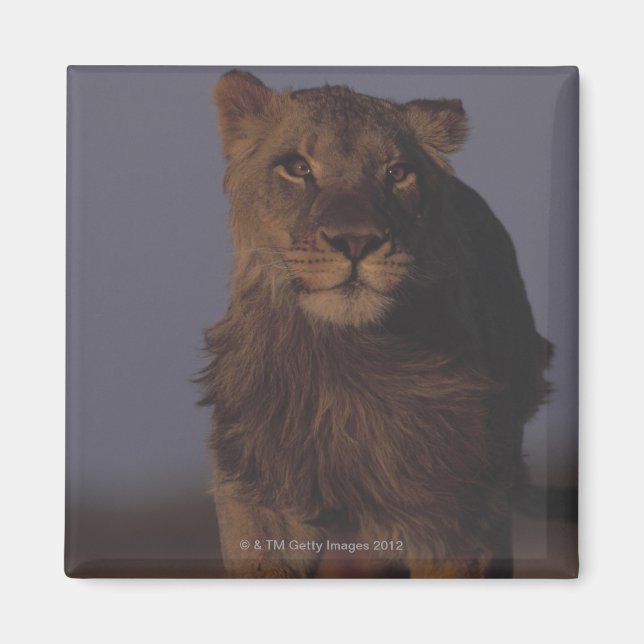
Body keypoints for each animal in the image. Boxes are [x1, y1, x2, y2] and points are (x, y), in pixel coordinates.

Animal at [199, 70, 551, 578]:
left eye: (397, 173)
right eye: (297, 168)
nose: (355, 241)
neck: (342, 361)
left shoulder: (455, 513)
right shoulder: (256, 492)